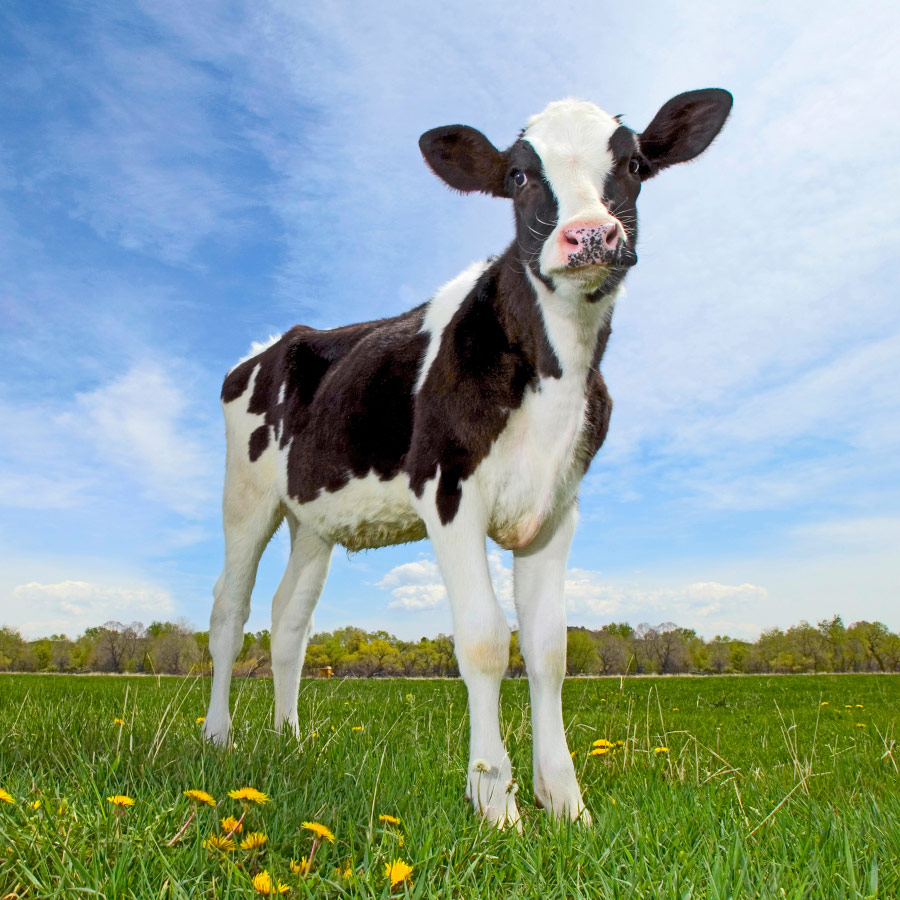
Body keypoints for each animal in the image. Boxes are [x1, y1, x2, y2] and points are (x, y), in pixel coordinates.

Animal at [207, 88, 736, 828]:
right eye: (518, 175)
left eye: (633, 163)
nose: (591, 236)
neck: (554, 373)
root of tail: (278, 342)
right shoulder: (448, 491)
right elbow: (485, 639)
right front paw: (495, 799)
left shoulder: (557, 506)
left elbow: (549, 649)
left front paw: (564, 801)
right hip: (246, 496)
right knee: (230, 612)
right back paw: (218, 736)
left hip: (312, 515)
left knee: (289, 620)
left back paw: (290, 741)